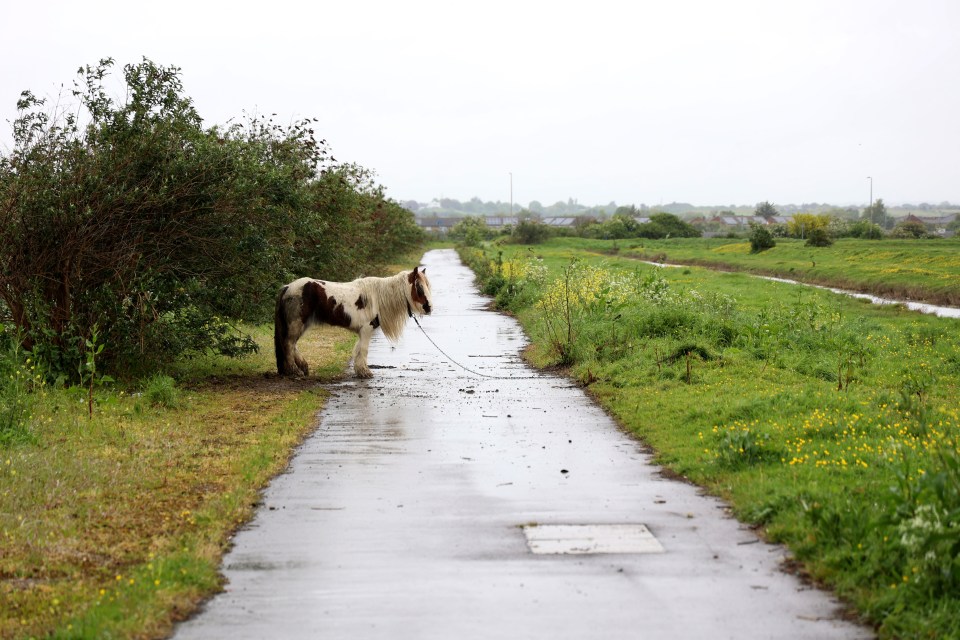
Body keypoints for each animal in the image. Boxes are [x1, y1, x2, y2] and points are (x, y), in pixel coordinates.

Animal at [274, 266, 432, 378]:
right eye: (419, 288)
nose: (428, 308)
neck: (377, 298)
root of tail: (287, 287)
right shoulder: (366, 329)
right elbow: (363, 350)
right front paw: (365, 372)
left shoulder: (362, 332)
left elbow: (358, 350)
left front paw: (359, 370)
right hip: (296, 323)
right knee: (288, 344)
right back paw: (295, 371)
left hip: (302, 324)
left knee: (292, 344)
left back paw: (303, 366)